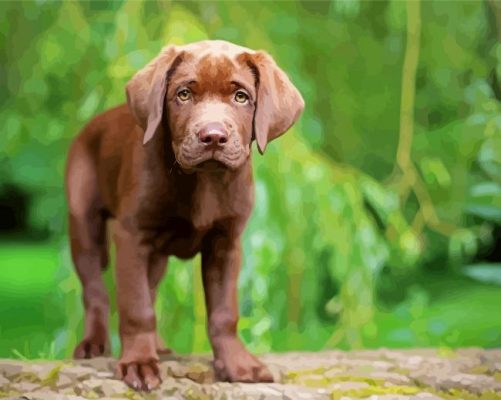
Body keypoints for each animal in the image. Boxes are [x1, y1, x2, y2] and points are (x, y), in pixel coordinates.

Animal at [64, 40, 302, 390]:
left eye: (241, 96)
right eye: (184, 94)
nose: (213, 136)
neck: (203, 180)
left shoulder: (226, 243)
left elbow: (223, 312)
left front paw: (237, 364)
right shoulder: (132, 235)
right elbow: (136, 306)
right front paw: (138, 363)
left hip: (156, 255)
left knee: (149, 286)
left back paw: (159, 346)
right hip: (84, 223)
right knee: (95, 290)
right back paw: (94, 343)